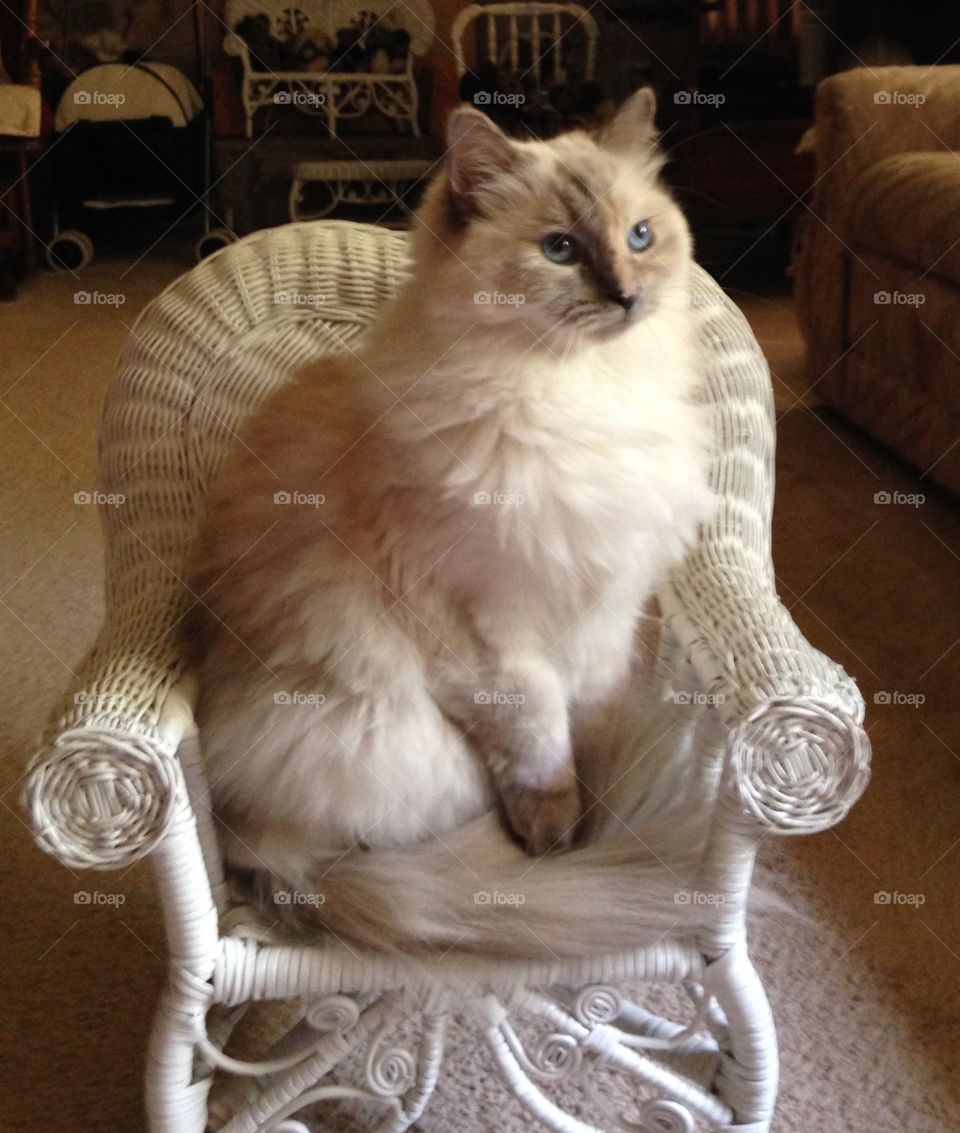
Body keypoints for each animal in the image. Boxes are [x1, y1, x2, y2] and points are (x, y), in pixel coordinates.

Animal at [188, 90, 716, 956]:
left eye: (641, 236)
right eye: (560, 249)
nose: (626, 295)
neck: (581, 392)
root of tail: (259, 853)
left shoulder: (604, 616)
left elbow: (591, 719)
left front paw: (597, 802)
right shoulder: (487, 629)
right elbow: (540, 742)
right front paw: (559, 832)